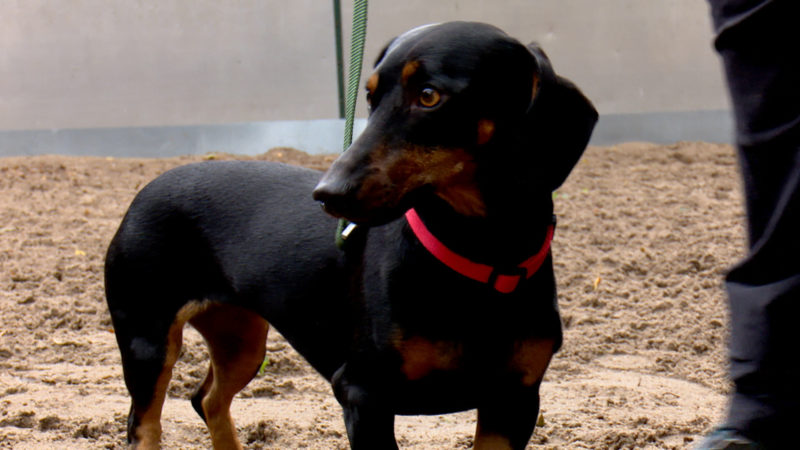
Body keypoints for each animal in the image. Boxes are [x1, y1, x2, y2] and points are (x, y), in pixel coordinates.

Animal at [104, 21, 592, 450]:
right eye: (370, 97)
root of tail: (150, 186)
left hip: (240, 338)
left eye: (429, 96)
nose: (327, 193)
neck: (482, 255)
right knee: (143, 425)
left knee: (206, 399)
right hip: (147, 342)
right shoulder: (363, 394)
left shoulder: (514, 401)